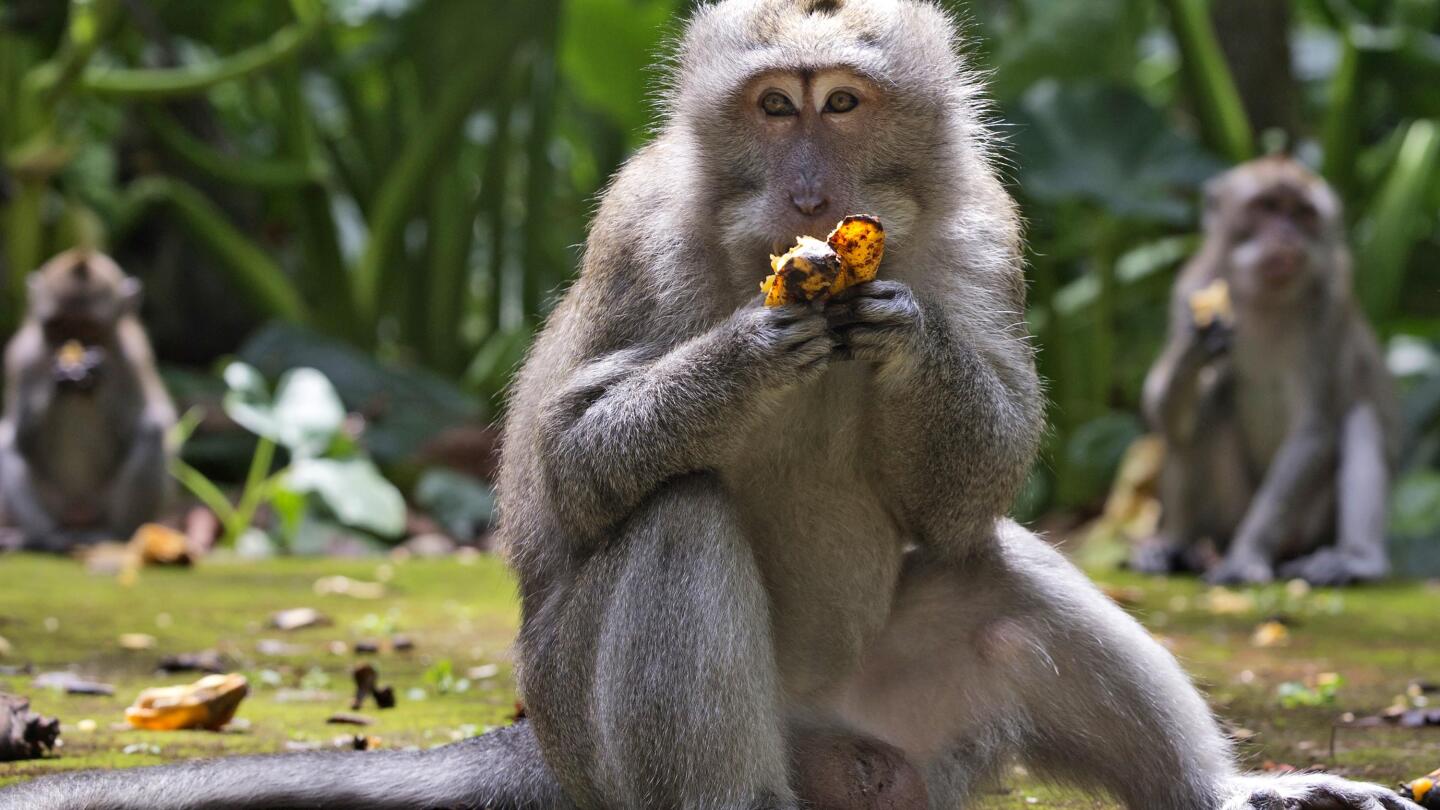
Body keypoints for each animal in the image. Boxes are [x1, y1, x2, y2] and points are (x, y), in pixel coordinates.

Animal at [0, 249, 175, 550]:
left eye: (90, 329)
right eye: (58, 327)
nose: (72, 344)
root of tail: (78, 513)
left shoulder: (132, 357)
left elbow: (149, 421)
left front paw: (93, 376)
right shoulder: (23, 357)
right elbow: (21, 439)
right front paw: (58, 380)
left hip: (101, 502)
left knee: (150, 431)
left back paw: (114, 533)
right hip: (54, 502)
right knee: (5, 442)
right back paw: (44, 538)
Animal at [1128, 154, 1399, 582]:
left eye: (1303, 214)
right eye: (1268, 207)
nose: (1286, 236)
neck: (1264, 298)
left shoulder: (1330, 305)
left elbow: (1313, 429)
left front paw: (1245, 556)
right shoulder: (1190, 285)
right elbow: (1160, 410)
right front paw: (1197, 343)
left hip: (1309, 528)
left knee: (1362, 416)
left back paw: (1356, 557)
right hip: (1226, 514)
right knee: (1207, 407)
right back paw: (1176, 545)